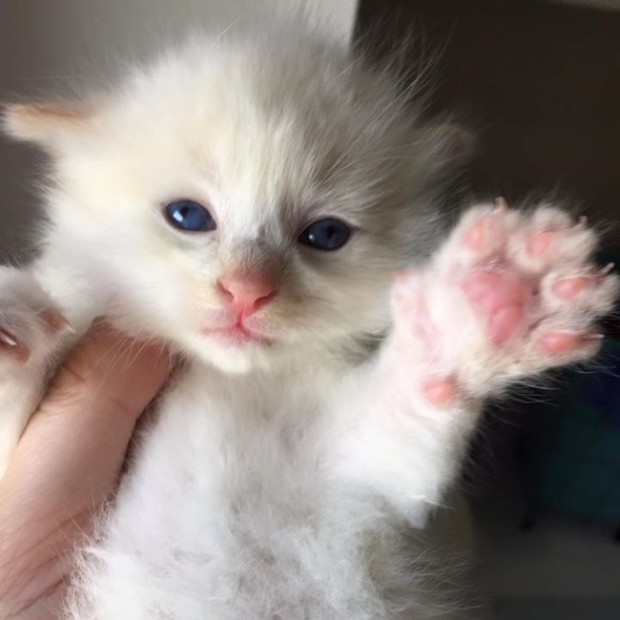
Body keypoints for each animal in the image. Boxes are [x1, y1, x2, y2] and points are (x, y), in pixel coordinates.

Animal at [0, 19, 616, 620]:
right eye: (188, 216)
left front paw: (484, 300)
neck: (224, 380)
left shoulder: (362, 470)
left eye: (325, 235)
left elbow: (403, 409)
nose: (247, 292)